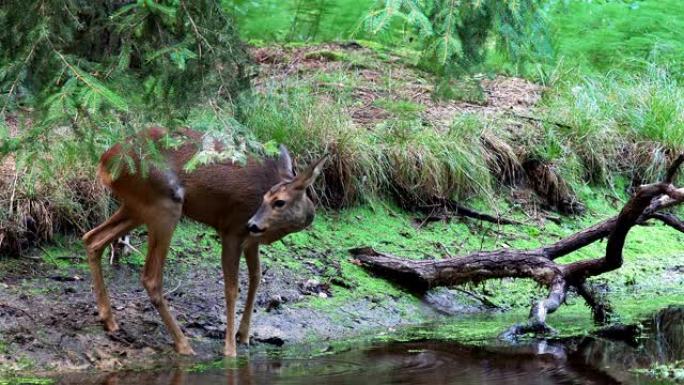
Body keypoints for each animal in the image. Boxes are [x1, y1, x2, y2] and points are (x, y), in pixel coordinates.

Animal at [83, 127, 328, 356]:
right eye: (269, 199)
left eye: (279, 201)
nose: (253, 224)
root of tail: (104, 162)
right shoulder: (232, 228)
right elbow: (232, 288)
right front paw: (230, 349)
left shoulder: (251, 241)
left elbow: (256, 278)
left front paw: (244, 335)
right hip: (164, 202)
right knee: (150, 277)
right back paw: (183, 344)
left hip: (137, 206)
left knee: (92, 239)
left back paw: (109, 320)